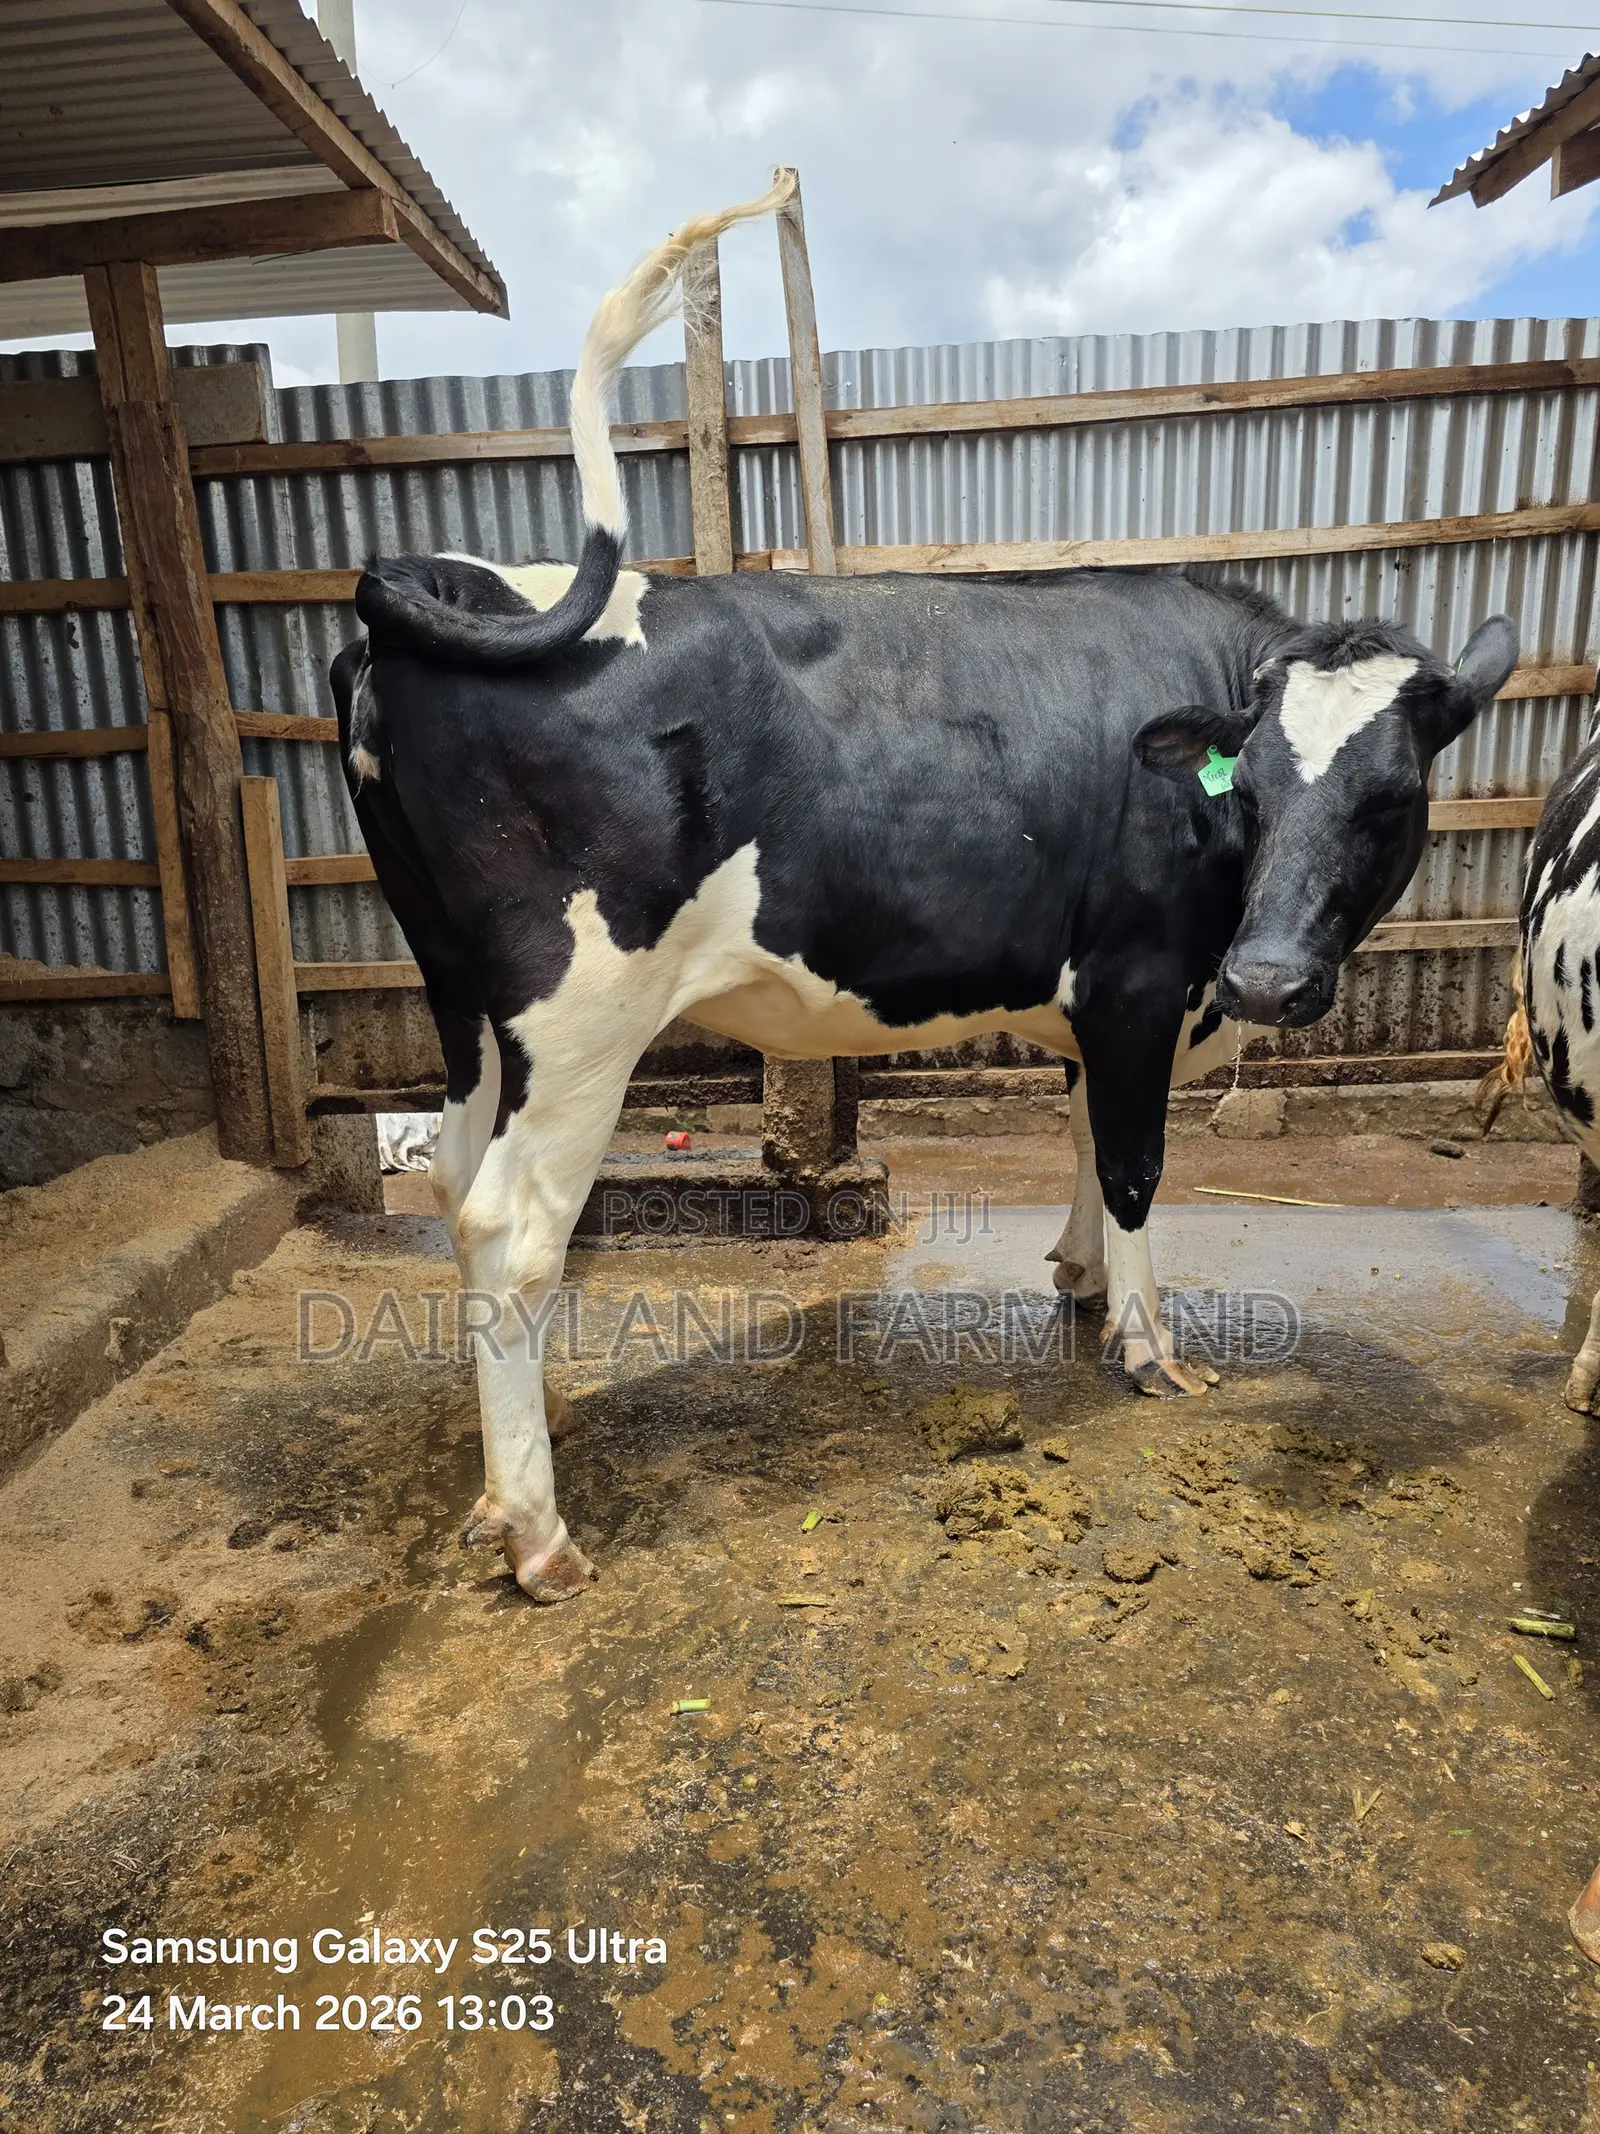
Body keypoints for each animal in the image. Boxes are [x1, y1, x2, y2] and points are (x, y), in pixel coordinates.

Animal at [332, 173, 1520, 1604]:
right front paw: (1145, 1345)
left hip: (460, 998)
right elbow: (1135, 1157)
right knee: (512, 1228)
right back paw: (538, 1530)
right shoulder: (1138, 978)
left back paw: (512, 1455)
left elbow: (1084, 1133)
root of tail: (434, 588)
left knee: (455, 1191)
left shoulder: (1111, 995)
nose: (1267, 978)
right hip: (577, 1017)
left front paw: (1077, 1282)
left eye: (1388, 797)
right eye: (1249, 788)